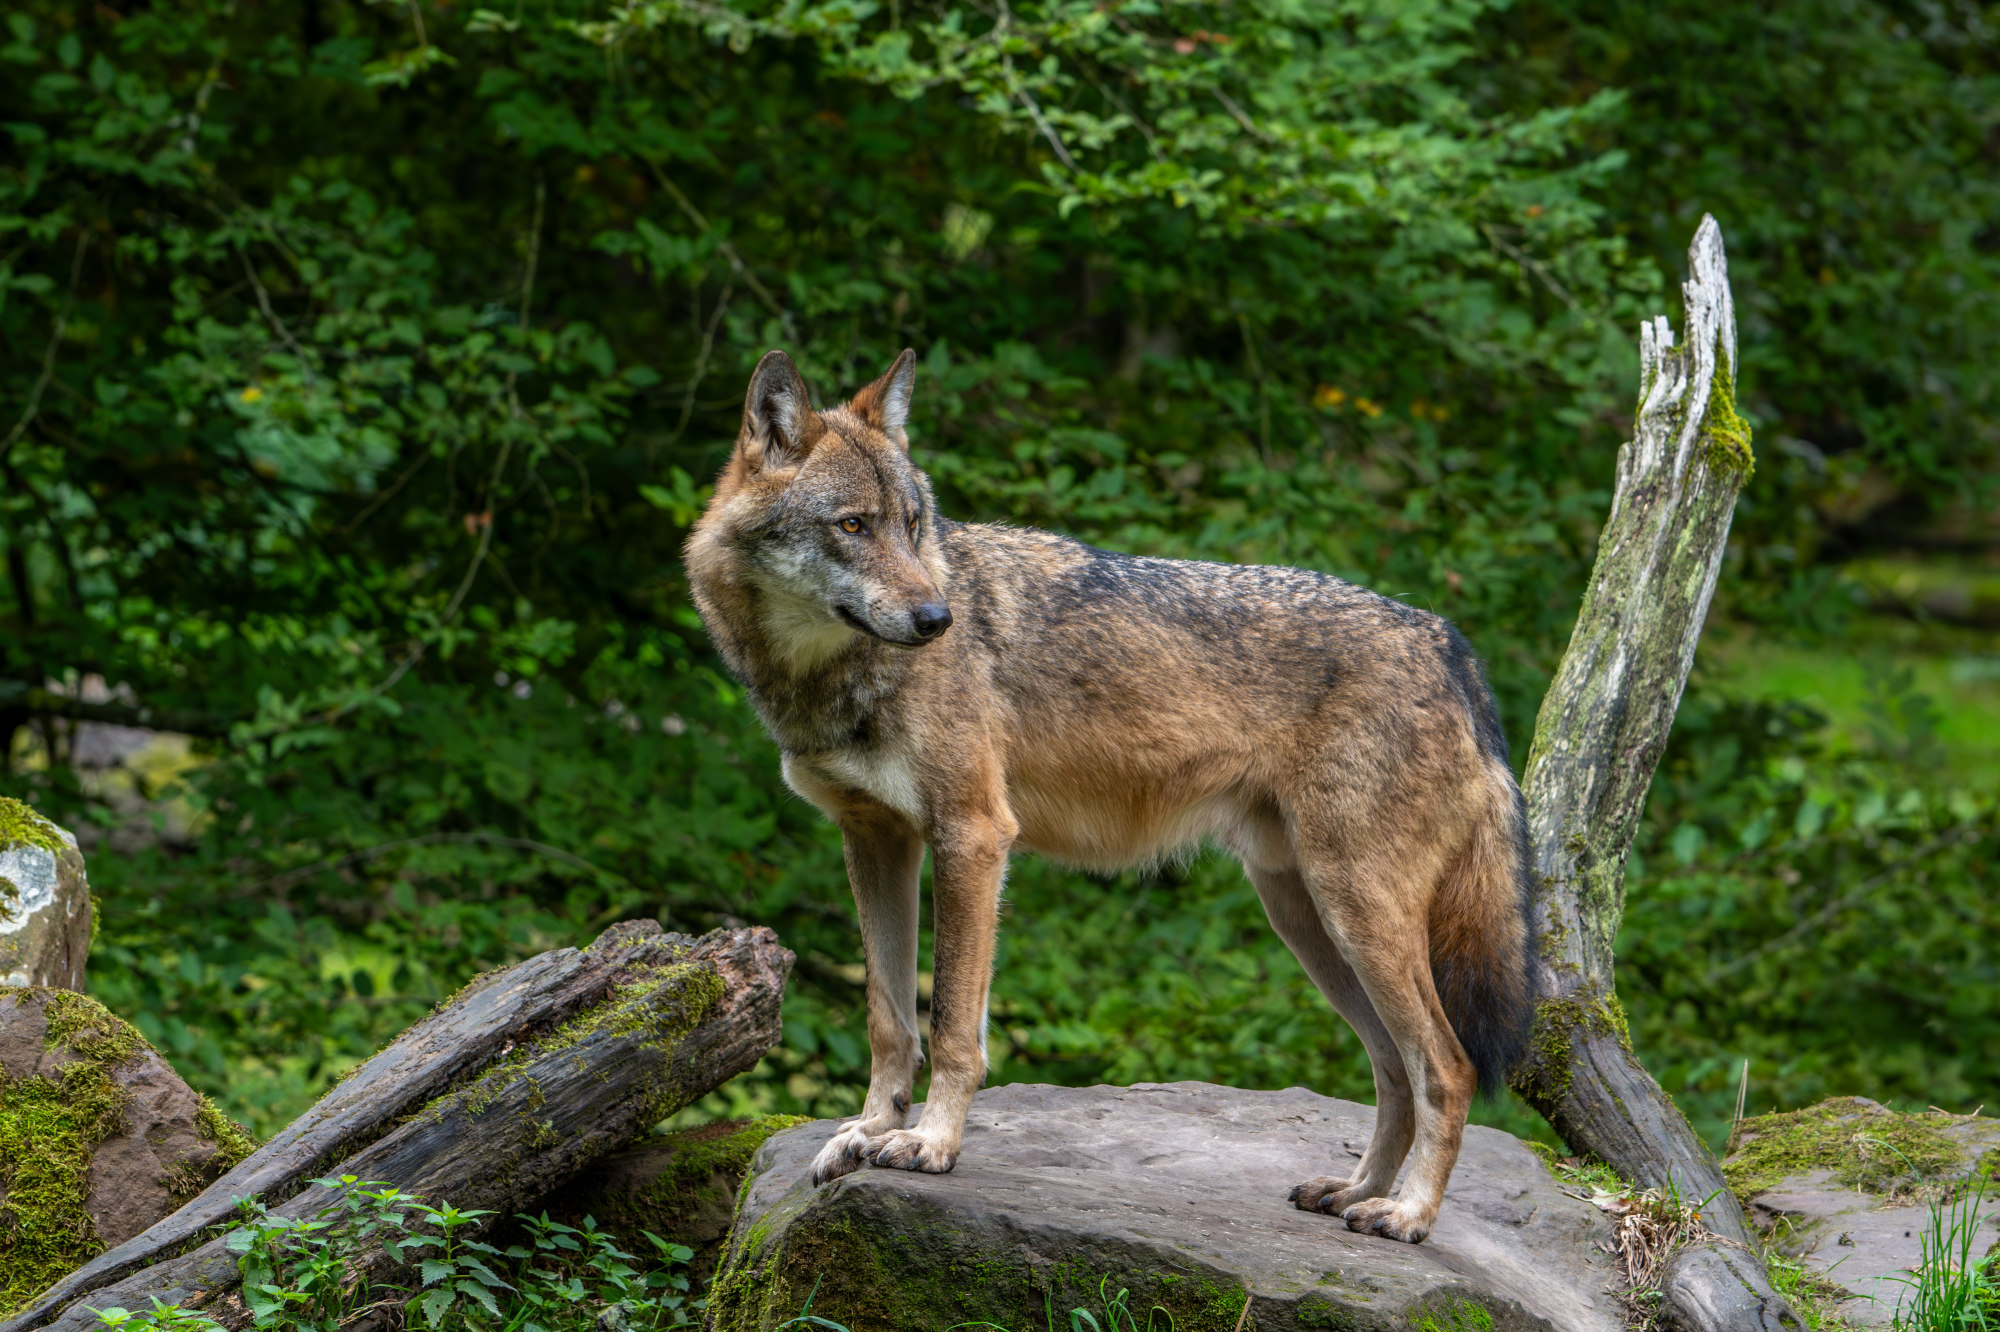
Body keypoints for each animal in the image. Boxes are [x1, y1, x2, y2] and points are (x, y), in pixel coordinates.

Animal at [685, 348, 1534, 1243]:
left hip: (1356, 916)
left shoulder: (974, 836)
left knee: (1447, 1066)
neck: (824, 678)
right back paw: (1356, 1190)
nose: (937, 618)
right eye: (853, 526)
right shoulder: (876, 839)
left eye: (914, 526)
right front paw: (871, 1130)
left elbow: (950, 1024)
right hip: (1308, 920)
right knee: (1392, 1069)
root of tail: (1449, 644)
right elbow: (889, 1019)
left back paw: (1406, 1213)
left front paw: (929, 1144)